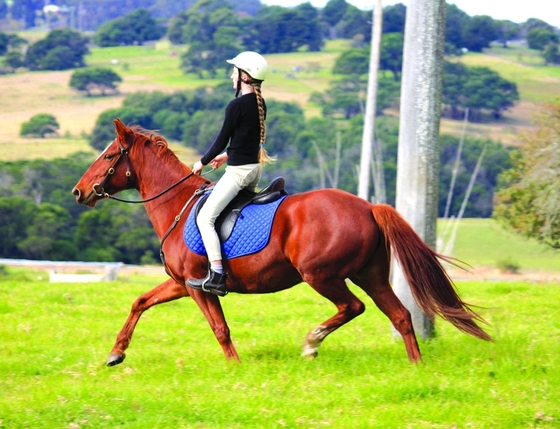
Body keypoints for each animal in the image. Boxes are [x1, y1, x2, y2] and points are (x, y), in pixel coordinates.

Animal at [70, 118, 490, 366]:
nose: (78, 192)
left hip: (322, 276)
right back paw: (415, 365)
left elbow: (219, 329)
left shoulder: (197, 287)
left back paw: (312, 342)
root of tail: (368, 206)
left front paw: (236, 369)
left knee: (353, 307)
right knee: (400, 315)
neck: (177, 204)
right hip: (371, 274)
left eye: (108, 155)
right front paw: (116, 353)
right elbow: (140, 301)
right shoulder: (180, 283)